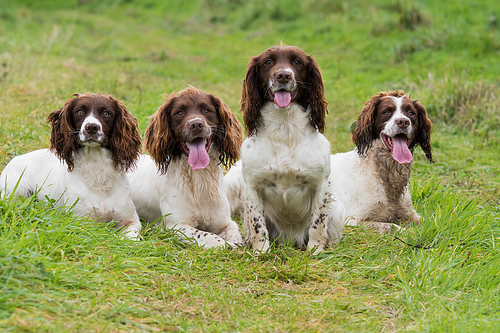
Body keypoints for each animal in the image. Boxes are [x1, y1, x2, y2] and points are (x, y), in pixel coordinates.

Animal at [0, 93, 145, 239]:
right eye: (79, 112)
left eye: (106, 113)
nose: (91, 127)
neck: (97, 170)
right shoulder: (81, 221)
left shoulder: (131, 220)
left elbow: (131, 238)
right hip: (17, 189)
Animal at [128, 87, 243, 248]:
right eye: (179, 113)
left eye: (207, 110)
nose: (196, 124)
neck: (199, 178)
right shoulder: (174, 226)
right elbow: (211, 237)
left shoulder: (225, 222)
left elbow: (235, 234)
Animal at [226, 44, 346, 252]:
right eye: (268, 62)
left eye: (297, 62)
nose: (283, 75)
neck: (285, 130)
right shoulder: (251, 186)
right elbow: (258, 225)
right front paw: (261, 251)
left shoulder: (322, 185)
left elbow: (318, 224)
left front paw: (316, 250)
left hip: (337, 208)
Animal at [330, 89, 432, 232]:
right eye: (386, 112)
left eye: (411, 113)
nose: (403, 122)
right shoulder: (351, 220)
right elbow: (392, 226)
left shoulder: (411, 214)